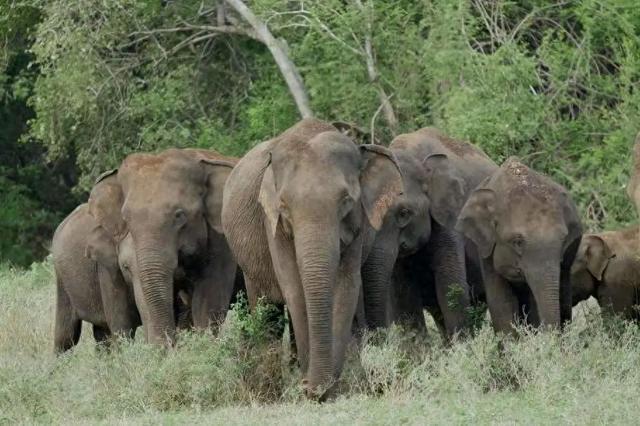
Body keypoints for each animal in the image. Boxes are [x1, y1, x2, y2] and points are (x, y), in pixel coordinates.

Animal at [222, 117, 402, 400]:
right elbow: (294, 288)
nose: (308, 387)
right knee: (267, 310)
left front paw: (330, 387)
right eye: (284, 206)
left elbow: (346, 286)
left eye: (346, 201)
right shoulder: (272, 222)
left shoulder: (358, 225)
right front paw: (315, 387)